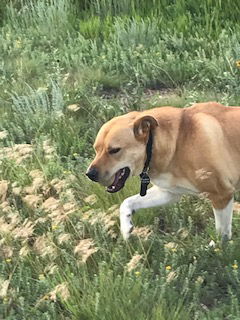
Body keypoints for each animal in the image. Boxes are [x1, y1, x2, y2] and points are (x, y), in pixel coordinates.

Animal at [86, 102, 240, 240]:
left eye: (114, 150)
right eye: (96, 149)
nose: (89, 174)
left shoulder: (222, 195)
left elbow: (221, 235)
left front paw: (216, 249)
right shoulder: (168, 193)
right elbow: (127, 202)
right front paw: (125, 228)